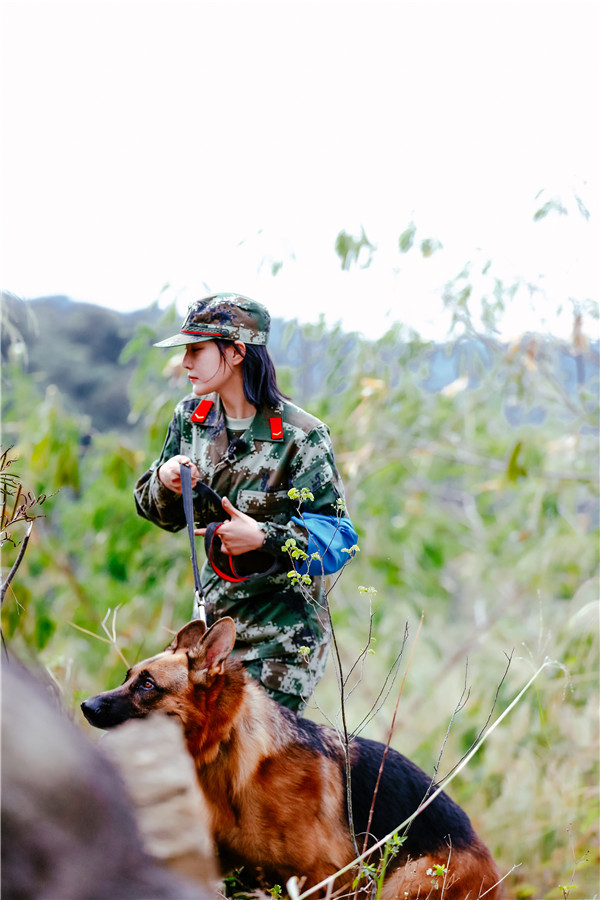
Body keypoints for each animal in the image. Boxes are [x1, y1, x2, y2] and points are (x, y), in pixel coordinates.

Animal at [81, 620, 502, 900]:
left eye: (147, 685)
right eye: (128, 676)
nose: (85, 706)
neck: (231, 754)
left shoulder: (321, 880)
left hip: (404, 883)